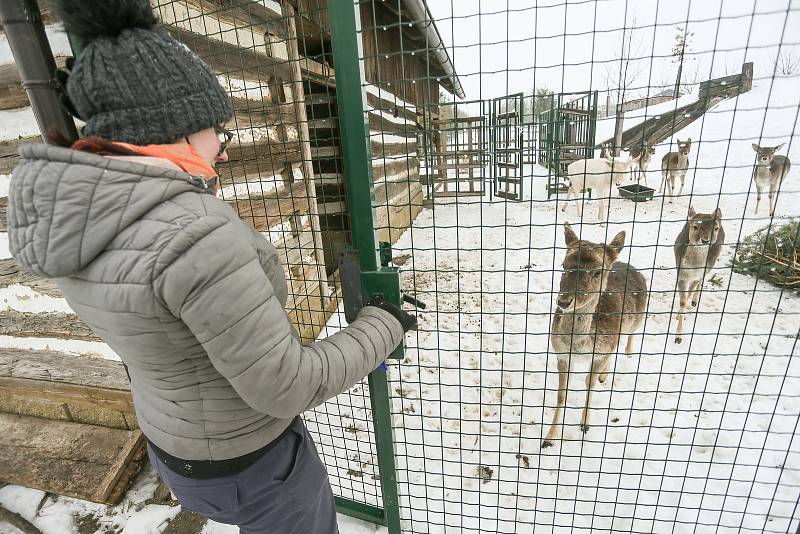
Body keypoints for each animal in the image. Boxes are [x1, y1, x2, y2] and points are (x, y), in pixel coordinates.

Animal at [544, 224, 648, 450]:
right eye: (564, 265)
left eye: (598, 271)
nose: (563, 301)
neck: (579, 345)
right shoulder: (561, 354)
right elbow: (562, 393)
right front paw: (549, 437)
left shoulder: (600, 353)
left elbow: (589, 383)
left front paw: (584, 424)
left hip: (637, 319)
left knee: (627, 336)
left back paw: (621, 359)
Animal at [676, 207, 724, 346]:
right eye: (695, 226)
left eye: (716, 228)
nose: (705, 240)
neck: (692, 268)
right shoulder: (681, 274)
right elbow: (682, 301)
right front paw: (678, 337)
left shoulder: (698, 274)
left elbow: (690, 292)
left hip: (710, 266)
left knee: (701, 281)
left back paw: (694, 301)